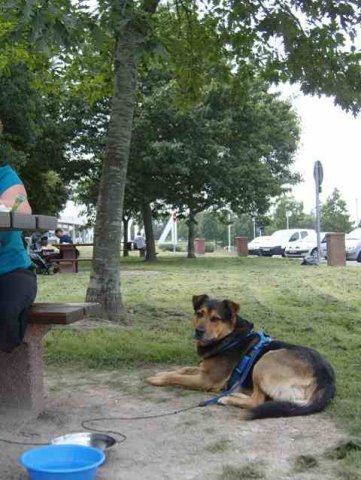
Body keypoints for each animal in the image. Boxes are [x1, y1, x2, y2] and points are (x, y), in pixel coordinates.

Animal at [147, 294, 334, 418]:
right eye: (199, 313)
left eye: (215, 319)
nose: (198, 332)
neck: (230, 338)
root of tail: (326, 379)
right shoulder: (204, 369)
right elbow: (183, 369)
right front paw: (162, 372)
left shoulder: (206, 380)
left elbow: (177, 378)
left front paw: (157, 379)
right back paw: (232, 394)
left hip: (264, 362)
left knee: (257, 401)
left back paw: (227, 399)